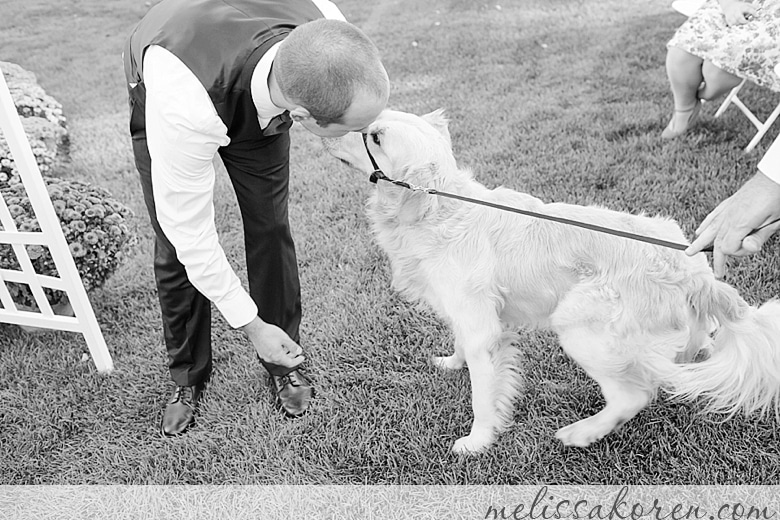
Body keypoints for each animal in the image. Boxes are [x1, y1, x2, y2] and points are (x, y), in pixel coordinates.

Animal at [322, 110, 780, 456]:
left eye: (375, 138)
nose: (326, 132)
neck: (439, 207)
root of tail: (692, 270)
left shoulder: (482, 329)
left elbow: (482, 394)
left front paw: (477, 442)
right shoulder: (468, 313)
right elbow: (460, 344)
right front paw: (451, 363)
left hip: (579, 324)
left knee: (632, 396)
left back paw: (583, 432)